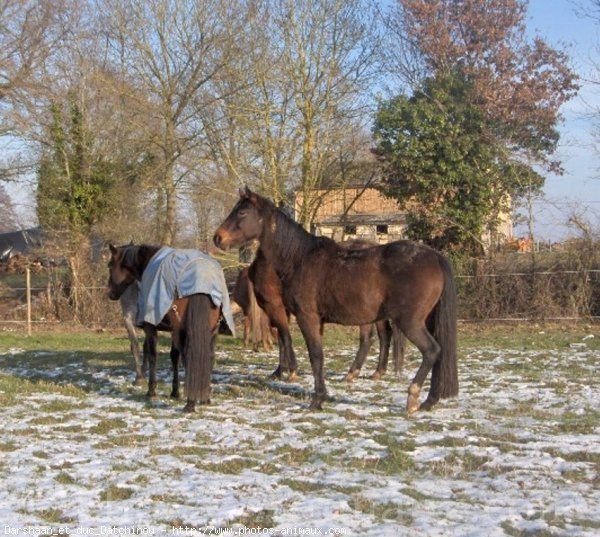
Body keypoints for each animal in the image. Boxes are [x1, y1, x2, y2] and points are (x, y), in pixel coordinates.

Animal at [105, 243, 232, 410]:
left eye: (110, 265)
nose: (110, 293)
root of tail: (201, 282)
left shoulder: (151, 327)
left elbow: (153, 355)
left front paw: (151, 391)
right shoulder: (173, 330)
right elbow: (174, 357)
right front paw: (175, 392)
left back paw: (190, 403)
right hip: (211, 331)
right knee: (208, 357)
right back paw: (205, 398)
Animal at [213, 186, 458, 412]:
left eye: (242, 212)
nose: (218, 238)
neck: (299, 259)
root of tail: (435, 257)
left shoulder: (306, 318)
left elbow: (315, 356)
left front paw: (317, 400)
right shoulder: (316, 321)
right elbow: (315, 356)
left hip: (410, 322)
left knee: (432, 351)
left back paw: (413, 397)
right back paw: (429, 401)